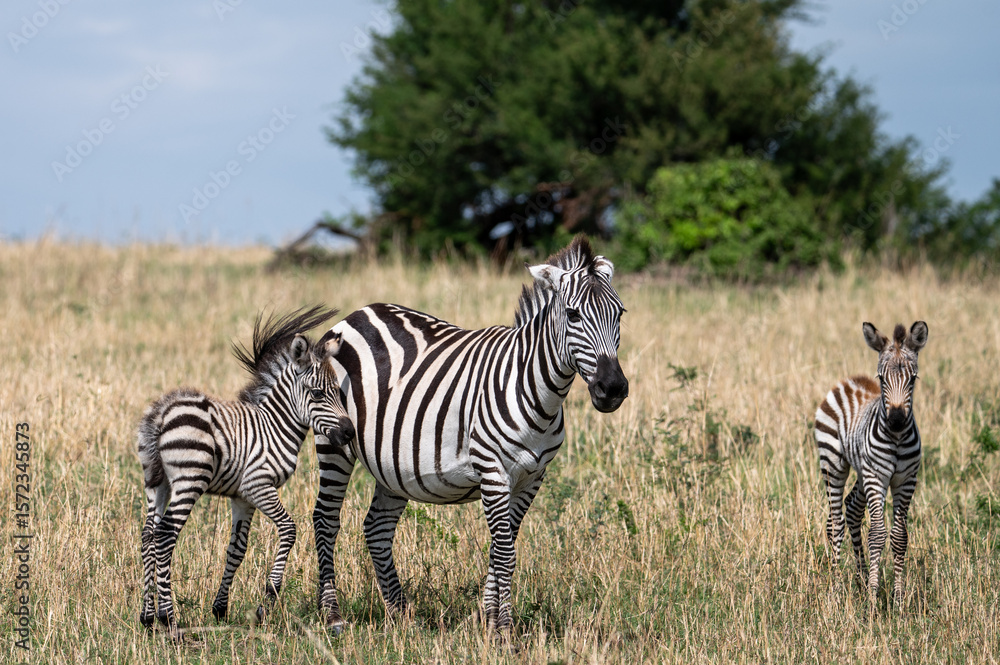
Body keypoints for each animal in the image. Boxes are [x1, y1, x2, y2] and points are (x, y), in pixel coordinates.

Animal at [137, 306, 356, 634]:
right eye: (317, 394)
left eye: (340, 395)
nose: (350, 433)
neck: (275, 425)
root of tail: (162, 412)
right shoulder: (258, 485)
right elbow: (288, 528)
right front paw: (268, 599)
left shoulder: (241, 497)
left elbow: (237, 548)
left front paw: (220, 609)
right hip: (189, 480)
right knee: (165, 535)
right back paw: (169, 619)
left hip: (157, 482)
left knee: (149, 535)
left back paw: (148, 617)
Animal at [310, 235, 629, 634]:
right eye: (572, 315)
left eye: (620, 314)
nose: (612, 388)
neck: (535, 390)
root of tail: (358, 314)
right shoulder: (493, 472)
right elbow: (505, 552)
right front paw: (504, 629)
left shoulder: (533, 477)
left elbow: (502, 548)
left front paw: (487, 620)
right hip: (333, 442)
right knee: (325, 519)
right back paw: (332, 615)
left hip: (392, 462)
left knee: (377, 528)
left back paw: (402, 615)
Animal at [814, 321, 928, 608]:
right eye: (881, 379)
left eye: (913, 379)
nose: (896, 421)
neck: (896, 439)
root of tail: (849, 380)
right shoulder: (877, 476)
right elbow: (877, 534)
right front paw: (874, 601)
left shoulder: (906, 480)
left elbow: (899, 536)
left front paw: (897, 601)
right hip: (833, 463)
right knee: (835, 523)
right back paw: (836, 589)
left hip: (862, 471)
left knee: (853, 508)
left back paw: (861, 579)